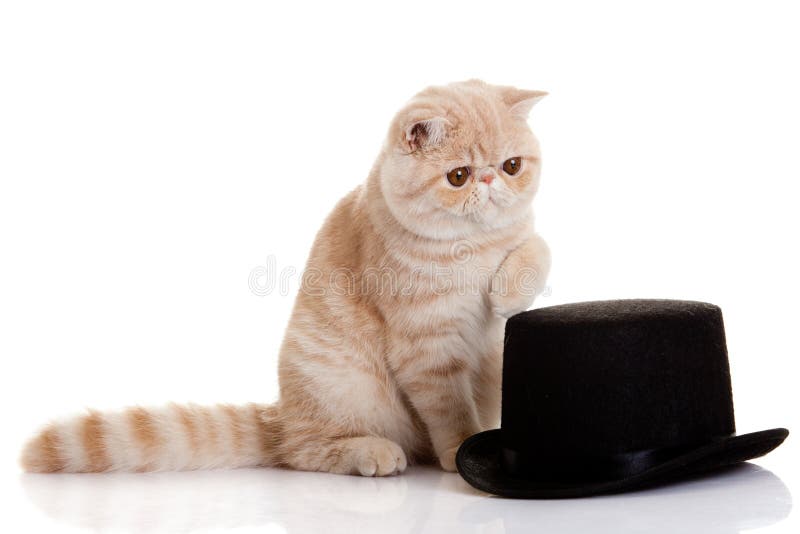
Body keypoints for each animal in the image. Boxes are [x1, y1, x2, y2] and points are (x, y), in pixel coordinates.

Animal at [23, 79, 552, 478]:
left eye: (511, 166)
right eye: (458, 175)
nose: (490, 181)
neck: (472, 249)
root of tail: (280, 415)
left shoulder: (521, 239)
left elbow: (536, 249)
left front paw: (507, 292)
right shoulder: (427, 349)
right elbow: (449, 408)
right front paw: (460, 447)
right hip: (340, 385)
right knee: (302, 451)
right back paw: (371, 452)